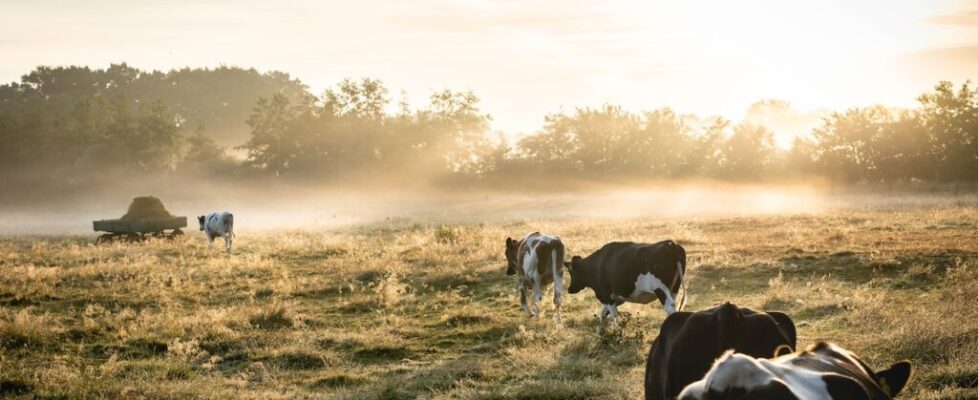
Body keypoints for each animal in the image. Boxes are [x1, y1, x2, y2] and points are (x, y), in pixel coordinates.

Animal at [560, 241, 692, 324]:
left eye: (571, 272)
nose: (569, 289)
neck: (598, 264)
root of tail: (670, 243)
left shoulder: (606, 295)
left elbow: (613, 315)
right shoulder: (616, 297)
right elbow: (603, 313)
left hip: (660, 288)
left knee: (669, 306)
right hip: (674, 288)